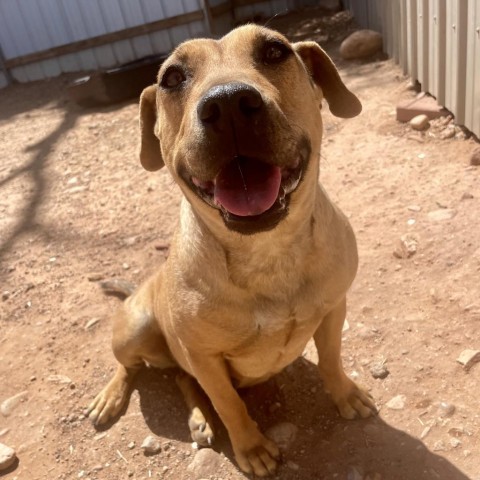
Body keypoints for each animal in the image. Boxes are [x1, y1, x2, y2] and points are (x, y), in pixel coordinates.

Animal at [88, 25, 376, 476]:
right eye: (172, 77)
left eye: (274, 51)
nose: (227, 104)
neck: (267, 253)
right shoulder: (204, 357)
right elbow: (228, 403)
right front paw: (251, 447)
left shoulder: (334, 309)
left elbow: (331, 359)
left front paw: (345, 394)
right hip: (136, 327)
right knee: (133, 366)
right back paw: (115, 397)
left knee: (182, 379)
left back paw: (198, 419)